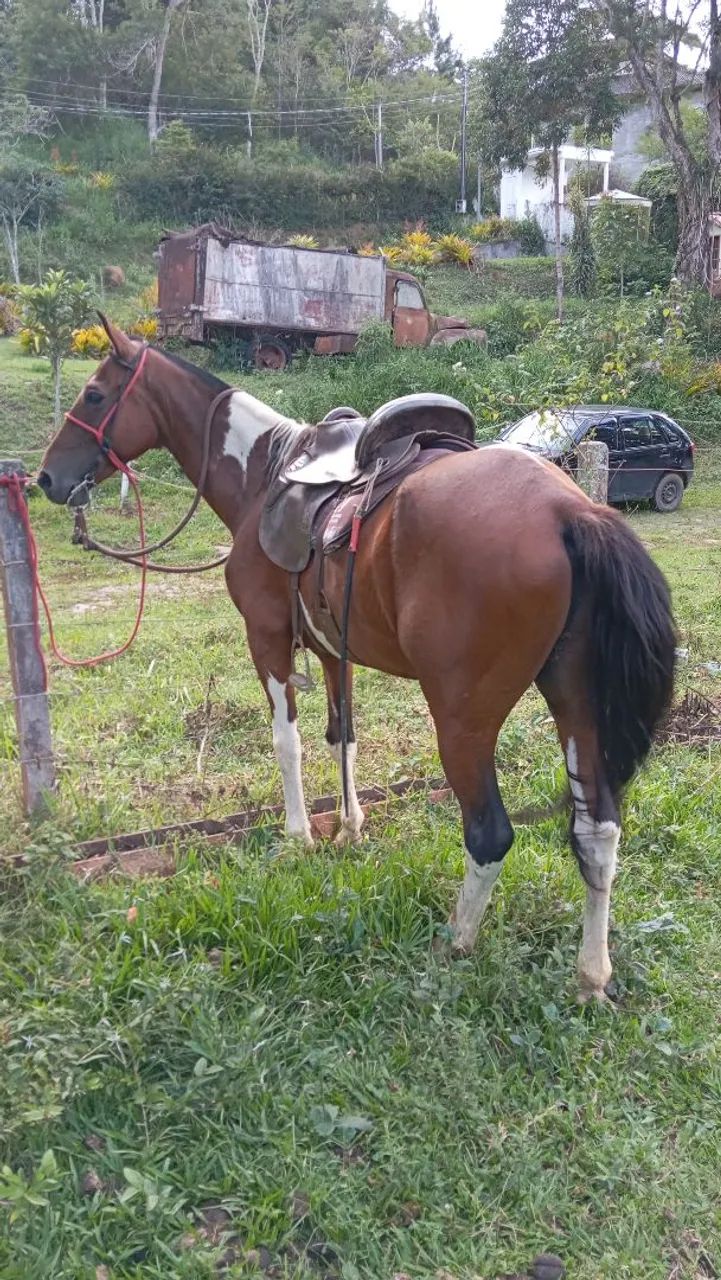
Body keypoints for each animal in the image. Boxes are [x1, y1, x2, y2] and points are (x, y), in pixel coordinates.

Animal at [37, 317, 676, 1002]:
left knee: (490, 833)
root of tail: (570, 510)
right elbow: (343, 735)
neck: (263, 477)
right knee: (598, 831)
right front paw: (349, 827)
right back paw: (591, 974)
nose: (47, 479)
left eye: (95, 395)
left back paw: (455, 942)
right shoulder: (332, 650)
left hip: (463, 719)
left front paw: (299, 837)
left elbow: (286, 740)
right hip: (575, 703)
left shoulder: (266, 638)